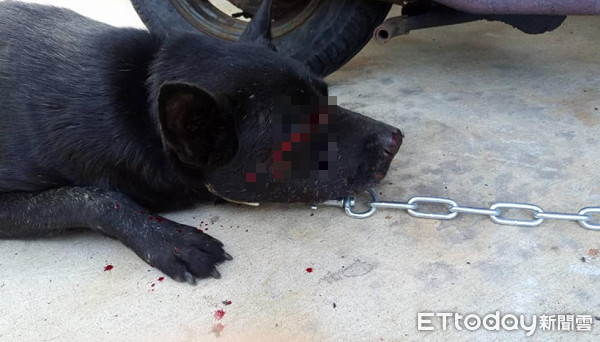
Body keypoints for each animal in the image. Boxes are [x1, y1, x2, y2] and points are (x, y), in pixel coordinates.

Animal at [0, 0, 404, 284]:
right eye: (299, 130)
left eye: (325, 94)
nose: (396, 139)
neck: (140, 105)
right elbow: (91, 198)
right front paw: (171, 241)